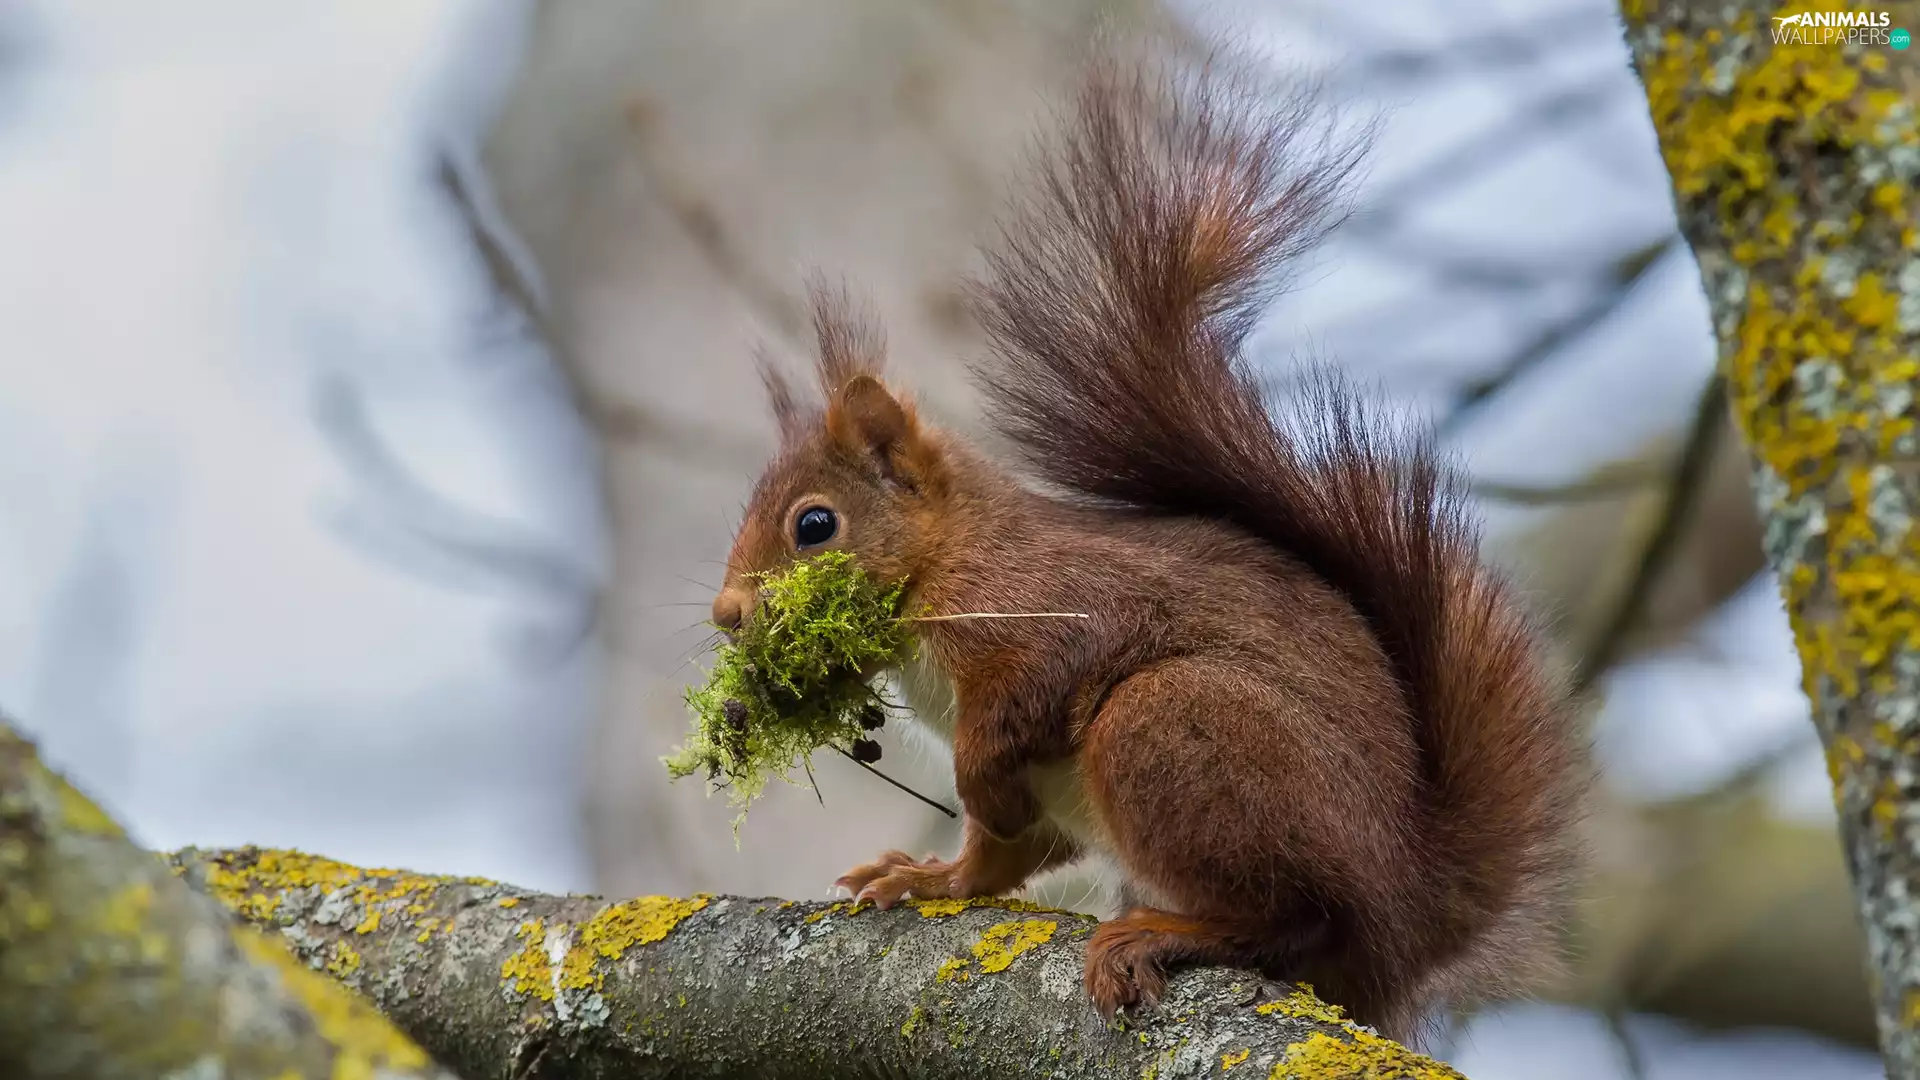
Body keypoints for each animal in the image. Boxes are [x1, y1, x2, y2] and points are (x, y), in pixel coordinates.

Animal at [708, 46, 1586, 1043]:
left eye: (815, 525)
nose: (725, 613)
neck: (948, 558)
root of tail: (1404, 914)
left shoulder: (1045, 606)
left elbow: (1024, 707)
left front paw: (972, 789)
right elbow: (1000, 854)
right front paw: (930, 878)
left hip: (1169, 729)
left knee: (1291, 914)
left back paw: (1160, 933)